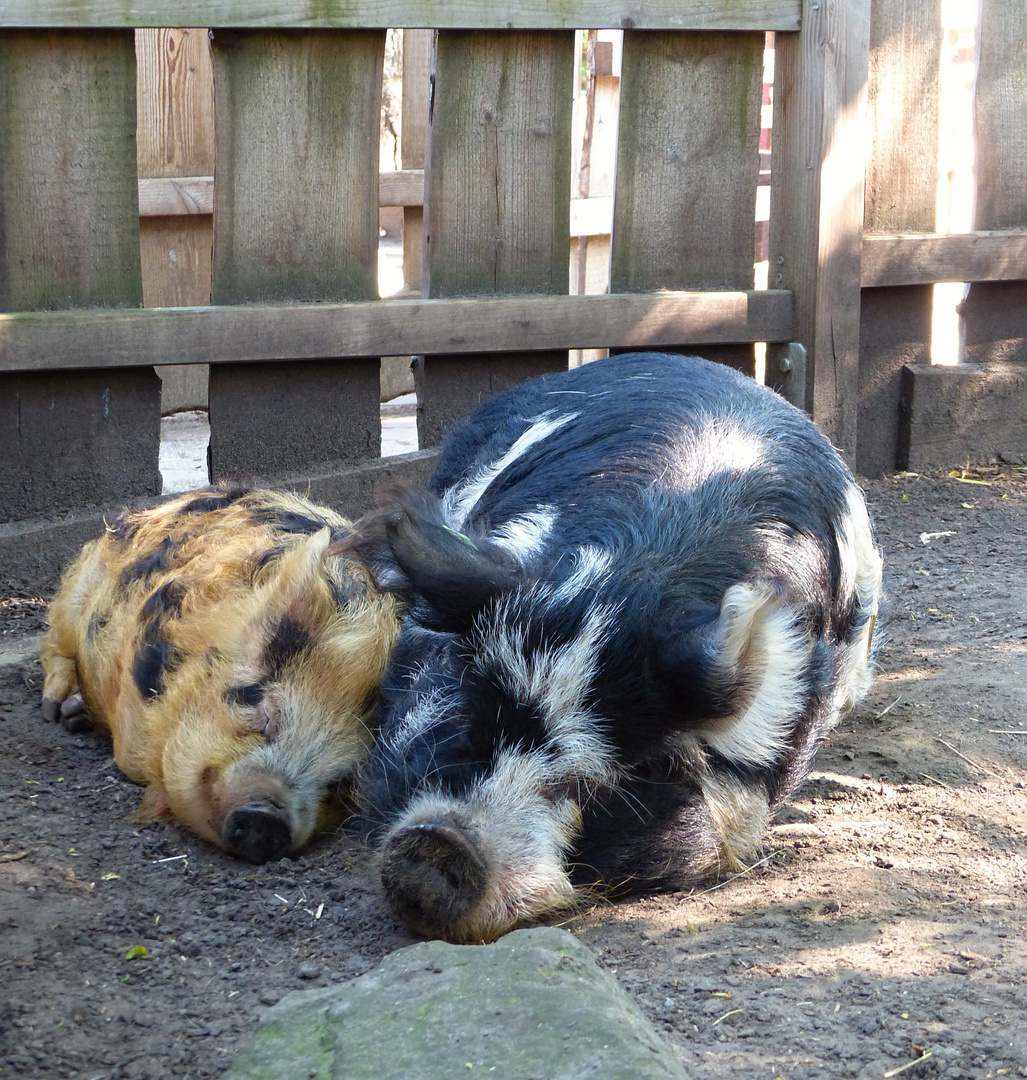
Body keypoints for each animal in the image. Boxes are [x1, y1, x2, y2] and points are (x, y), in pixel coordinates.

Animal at [41, 486, 401, 864]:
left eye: (341, 783)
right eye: (268, 713)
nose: (266, 818)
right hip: (75, 593)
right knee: (53, 644)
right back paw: (61, 711)